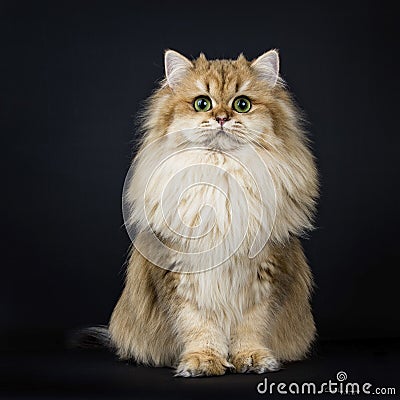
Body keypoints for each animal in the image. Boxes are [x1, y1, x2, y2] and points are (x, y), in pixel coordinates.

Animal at [105, 48, 318, 376]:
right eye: (202, 103)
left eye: (242, 104)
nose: (221, 118)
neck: (222, 172)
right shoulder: (180, 274)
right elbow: (198, 326)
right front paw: (204, 361)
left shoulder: (265, 274)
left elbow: (251, 327)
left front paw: (252, 359)